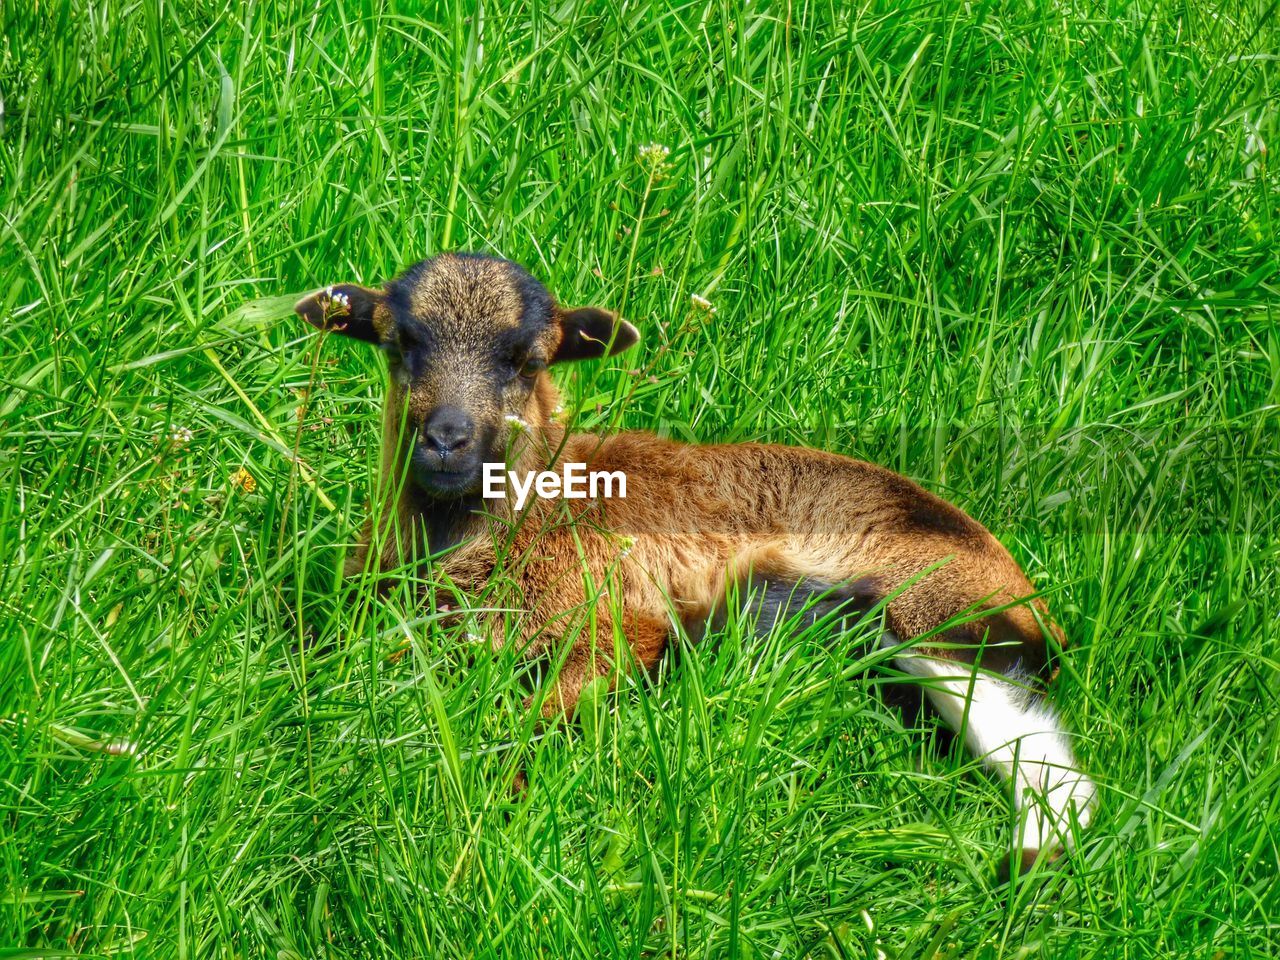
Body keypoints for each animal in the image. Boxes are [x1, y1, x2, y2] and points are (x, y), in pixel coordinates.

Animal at [294, 253, 1095, 870]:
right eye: (397, 345)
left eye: (530, 360)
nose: (446, 441)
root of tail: (1028, 594)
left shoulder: (618, 624)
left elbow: (524, 720)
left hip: (936, 612)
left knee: (1042, 750)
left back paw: (1027, 863)